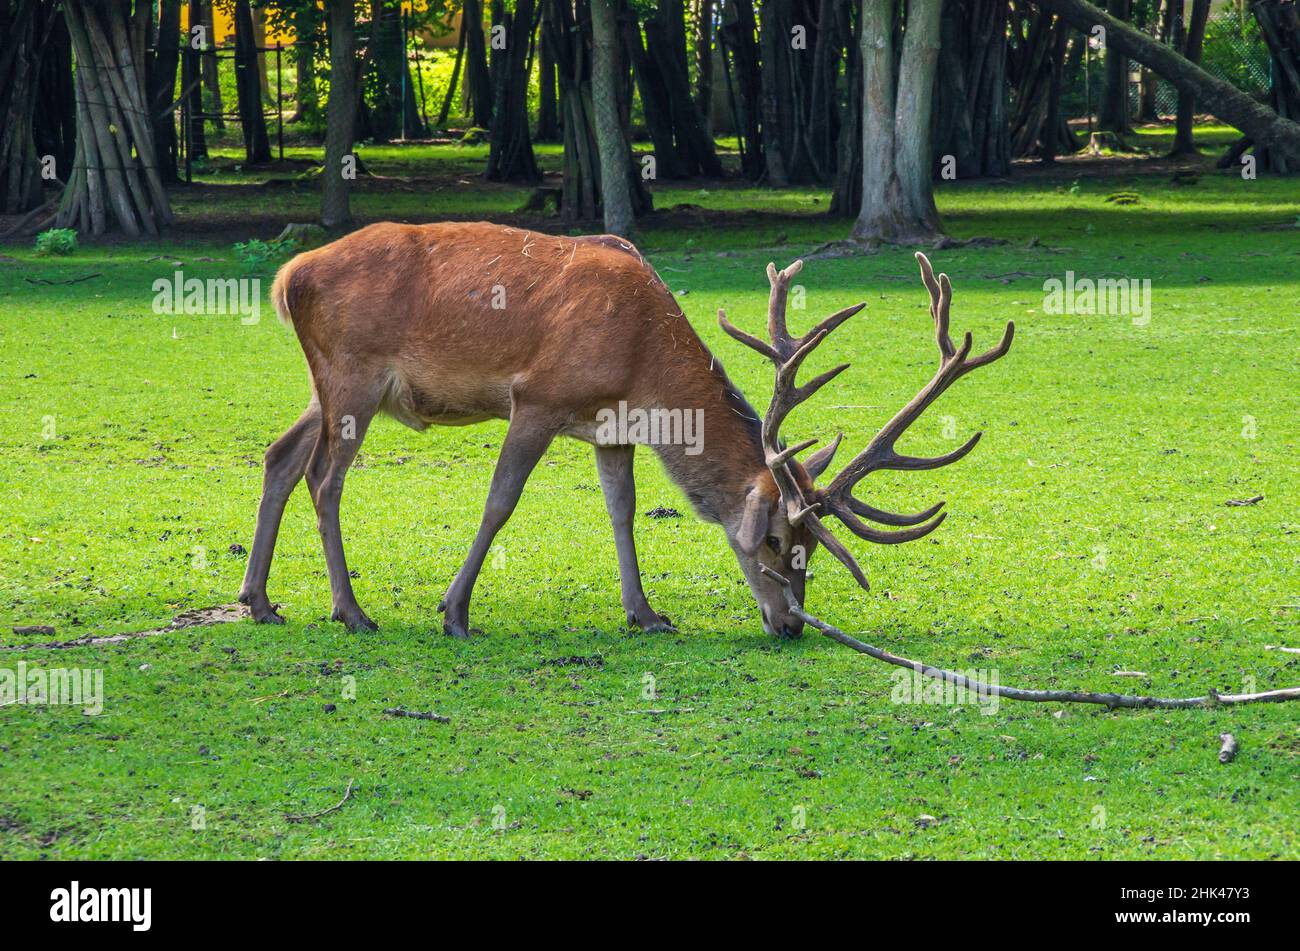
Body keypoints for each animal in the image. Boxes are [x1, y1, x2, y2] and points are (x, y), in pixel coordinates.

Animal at [244, 220, 1013, 639]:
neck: (645, 365)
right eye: (773, 540)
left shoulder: (612, 426)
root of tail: (288, 276)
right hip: (354, 373)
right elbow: (500, 502)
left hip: (332, 385)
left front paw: (645, 612)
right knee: (324, 478)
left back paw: (258, 601)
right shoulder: (538, 398)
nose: (792, 624)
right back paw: (351, 610)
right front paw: (455, 611)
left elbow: (623, 509)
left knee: (280, 456)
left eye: (810, 552)